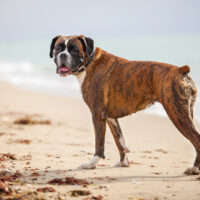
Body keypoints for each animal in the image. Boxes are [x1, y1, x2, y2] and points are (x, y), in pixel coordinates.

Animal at [49, 34, 200, 175]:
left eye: (74, 50)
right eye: (58, 48)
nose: (63, 55)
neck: (89, 62)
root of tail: (181, 70)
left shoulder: (98, 115)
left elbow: (99, 143)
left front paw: (92, 163)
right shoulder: (110, 118)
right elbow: (120, 141)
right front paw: (124, 162)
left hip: (177, 114)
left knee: (196, 140)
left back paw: (194, 168)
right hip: (188, 112)